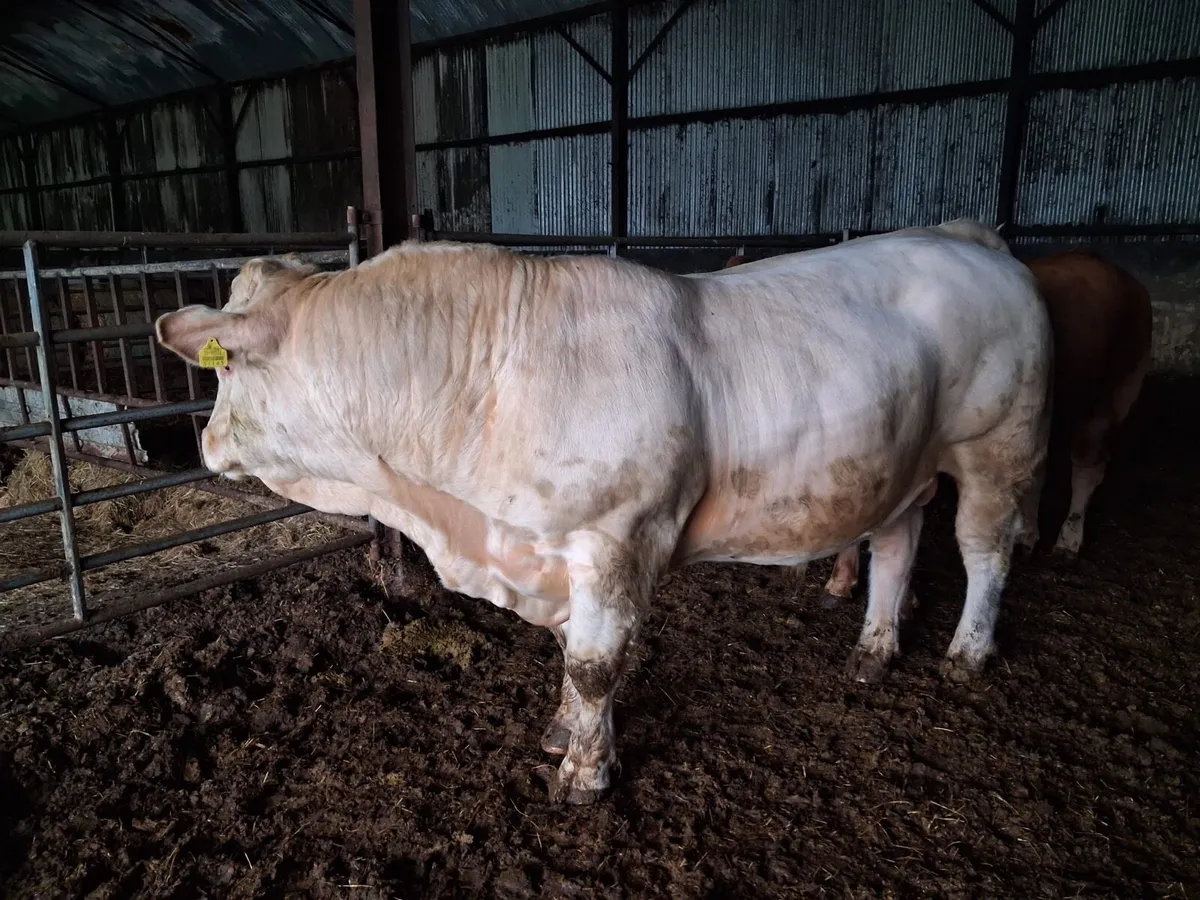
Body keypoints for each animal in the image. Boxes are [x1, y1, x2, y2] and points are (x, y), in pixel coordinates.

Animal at [155, 224, 1051, 805]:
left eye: (225, 369)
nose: (204, 441)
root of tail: (968, 239)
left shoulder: (618, 538)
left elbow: (595, 663)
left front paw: (585, 776)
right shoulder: (548, 550)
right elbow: (570, 657)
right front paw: (567, 733)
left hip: (995, 448)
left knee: (984, 549)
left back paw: (967, 651)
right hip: (898, 461)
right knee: (897, 542)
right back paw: (874, 646)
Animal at [809, 246, 1153, 610]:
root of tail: (1112, 268)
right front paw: (843, 580)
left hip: (1108, 398)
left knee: (1087, 469)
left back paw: (1068, 540)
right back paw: (1027, 536)